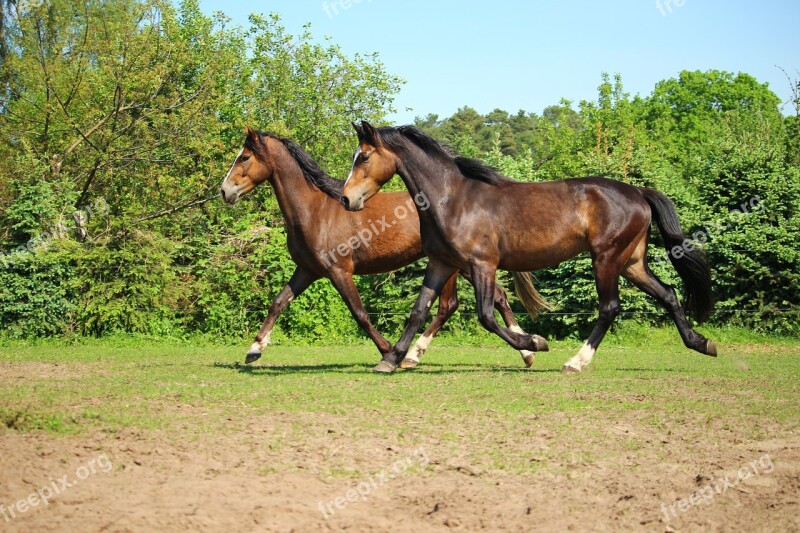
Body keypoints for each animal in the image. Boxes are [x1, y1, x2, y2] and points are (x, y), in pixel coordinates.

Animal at [219, 125, 548, 366]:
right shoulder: (307, 270)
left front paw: (387, 350)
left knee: (465, 303)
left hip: (461, 265)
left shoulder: (339, 271)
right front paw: (254, 350)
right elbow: (278, 302)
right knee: (476, 301)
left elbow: (360, 314)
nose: (224, 191)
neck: (315, 209)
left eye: (244, 157)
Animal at [340, 120, 716, 372]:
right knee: (668, 293)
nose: (346, 199)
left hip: (607, 259)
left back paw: (576, 361)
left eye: (364, 157)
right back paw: (702, 343)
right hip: (631, 262)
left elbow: (487, 316)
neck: (453, 198)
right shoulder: (441, 263)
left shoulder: (482, 264)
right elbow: (419, 310)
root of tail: (638, 192)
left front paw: (535, 342)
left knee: (609, 307)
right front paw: (392, 359)